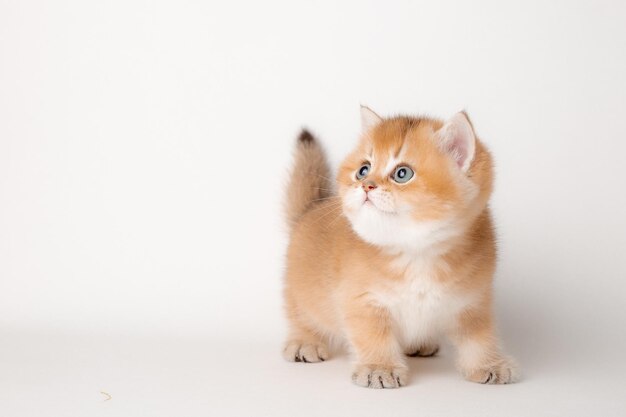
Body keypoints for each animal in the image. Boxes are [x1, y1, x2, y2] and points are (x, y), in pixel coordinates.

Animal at [282, 106, 516, 386]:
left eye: (402, 173)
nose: (366, 185)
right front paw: (379, 368)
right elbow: (373, 336)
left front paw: (489, 364)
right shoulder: (362, 302)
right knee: (302, 315)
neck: (418, 251)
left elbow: (479, 337)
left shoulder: (473, 300)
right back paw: (304, 342)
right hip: (302, 293)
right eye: (363, 169)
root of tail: (310, 208)